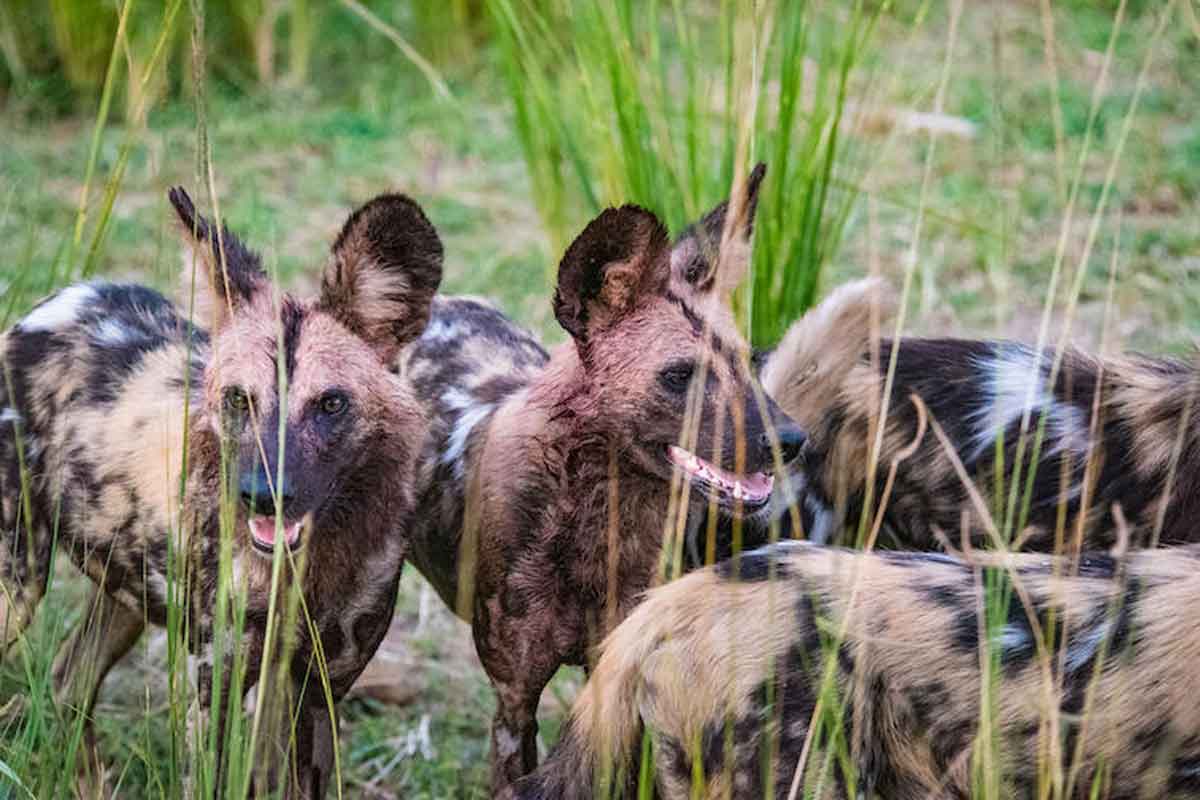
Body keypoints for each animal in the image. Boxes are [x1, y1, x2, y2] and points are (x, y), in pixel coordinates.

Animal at [0, 185, 441, 796]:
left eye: (331, 403)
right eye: (238, 399)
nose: (262, 495)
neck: (304, 572)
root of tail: (49, 306)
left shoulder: (316, 691)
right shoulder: (215, 686)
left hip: (124, 594)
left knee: (69, 685)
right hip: (16, 589)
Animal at [400, 167, 806, 786]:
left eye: (752, 362)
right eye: (679, 376)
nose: (791, 441)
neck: (601, 522)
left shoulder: (616, 677)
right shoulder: (514, 705)